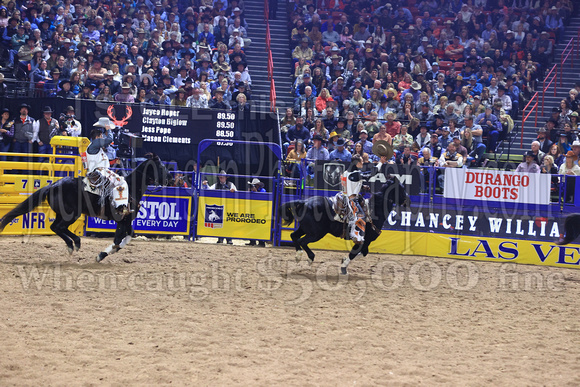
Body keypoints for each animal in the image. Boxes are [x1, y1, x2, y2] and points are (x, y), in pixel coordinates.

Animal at [0, 154, 170, 260]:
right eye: (161, 166)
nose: (169, 179)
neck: (131, 188)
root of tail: (54, 185)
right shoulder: (123, 220)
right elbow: (120, 240)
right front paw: (102, 254)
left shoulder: (124, 221)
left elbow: (125, 237)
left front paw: (105, 253)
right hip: (71, 214)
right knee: (58, 227)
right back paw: (74, 243)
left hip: (64, 214)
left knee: (55, 227)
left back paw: (73, 243)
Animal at [280, 177, 408, 274]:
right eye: (401, 188)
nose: (407, 200)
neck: (374, 210)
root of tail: (305, 202)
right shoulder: (365, 240)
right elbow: (355, 253)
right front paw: (343, 267)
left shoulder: (365, 242)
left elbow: (362, 253)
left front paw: (343, 260)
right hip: (316, 233)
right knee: (302, 241)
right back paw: (310, 258)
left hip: (305, 229)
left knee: (293, 236)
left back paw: (298, 255)